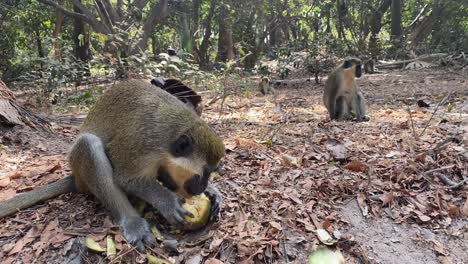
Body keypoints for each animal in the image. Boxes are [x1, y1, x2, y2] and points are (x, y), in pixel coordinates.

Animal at [0, 79, 225, 251]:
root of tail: (76, 178)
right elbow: (125, 178)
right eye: (201, 174)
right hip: (82, 172)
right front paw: (167, 201)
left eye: (210, 173)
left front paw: (212, 192)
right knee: (89, 144)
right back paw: (131, 220)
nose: (201, 187)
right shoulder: (139, 143)